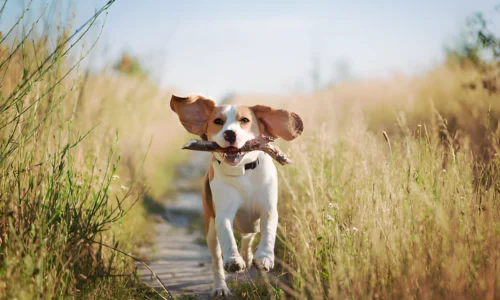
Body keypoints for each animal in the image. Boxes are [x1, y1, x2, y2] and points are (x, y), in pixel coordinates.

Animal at [170, 95, 302, 296]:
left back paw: (249, 258)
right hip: (210, 230)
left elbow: (268, 232)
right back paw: (221, 287)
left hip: (250, 224)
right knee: (217, 259)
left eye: (245, 120)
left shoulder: (268, 209)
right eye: (218, 121)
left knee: (248, 238)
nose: (230, 134)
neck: (242, 172)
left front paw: (264, 257)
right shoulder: (223, 214)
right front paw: (233, 260)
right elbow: (227, 235)